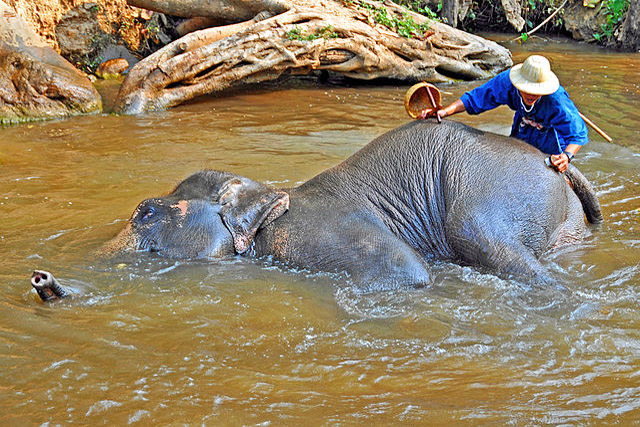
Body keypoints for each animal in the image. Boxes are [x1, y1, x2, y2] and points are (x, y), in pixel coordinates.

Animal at [31, 120, 603, 301]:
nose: (41, 279)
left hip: (487, 200)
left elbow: (409, 272)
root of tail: (560, 166)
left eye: (145, 213)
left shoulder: (313, 232)